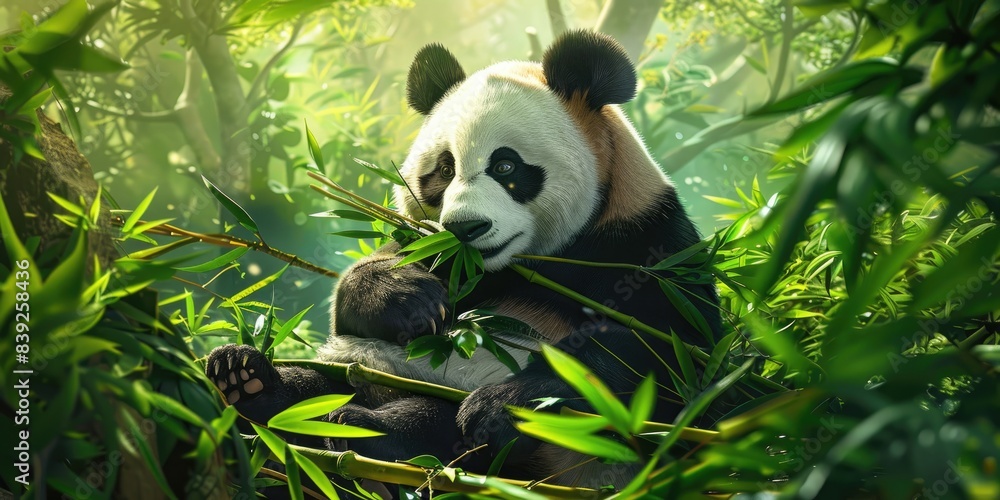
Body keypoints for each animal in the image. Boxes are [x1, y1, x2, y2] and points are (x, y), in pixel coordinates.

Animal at [207, 30, 719, 490]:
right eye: (445, 168)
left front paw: (502, 404)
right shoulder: (430, 250)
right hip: (362, 370)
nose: (464, 229)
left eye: (506, 166)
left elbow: (665, 359)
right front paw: (409, 301)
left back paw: (367, 429)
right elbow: (356, 298)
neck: (517, 263)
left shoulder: (647, 246)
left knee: (441, 427)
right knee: (318, 384)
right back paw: (248, 379)